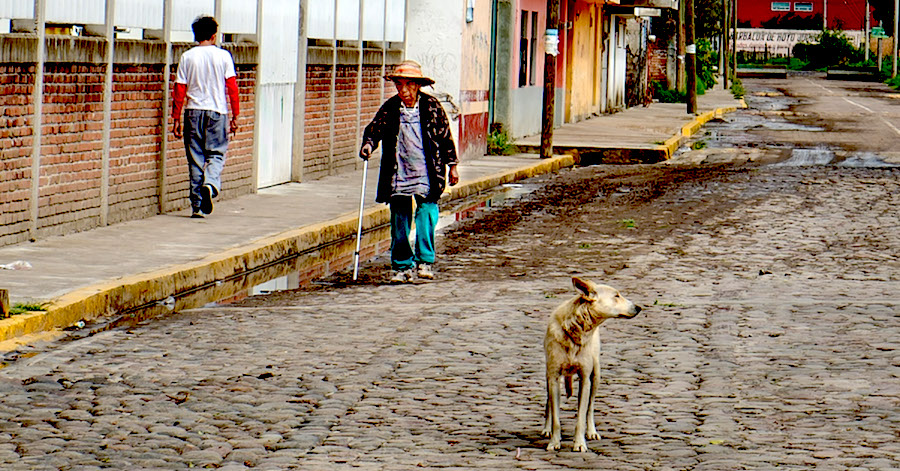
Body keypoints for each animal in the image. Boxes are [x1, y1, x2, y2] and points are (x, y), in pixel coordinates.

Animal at [540, 276, 640, 454]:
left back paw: (591, 431)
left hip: (596, 376)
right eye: (616, 296)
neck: (575, 333)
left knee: (590, 407)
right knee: (549, 403)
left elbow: (581, 416)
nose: (639, 307)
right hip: (548, 377)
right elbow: (556, 417)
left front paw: (579, 443)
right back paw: (546, 428)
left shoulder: (585, 379)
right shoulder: (553, 377)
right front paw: (554, 442)